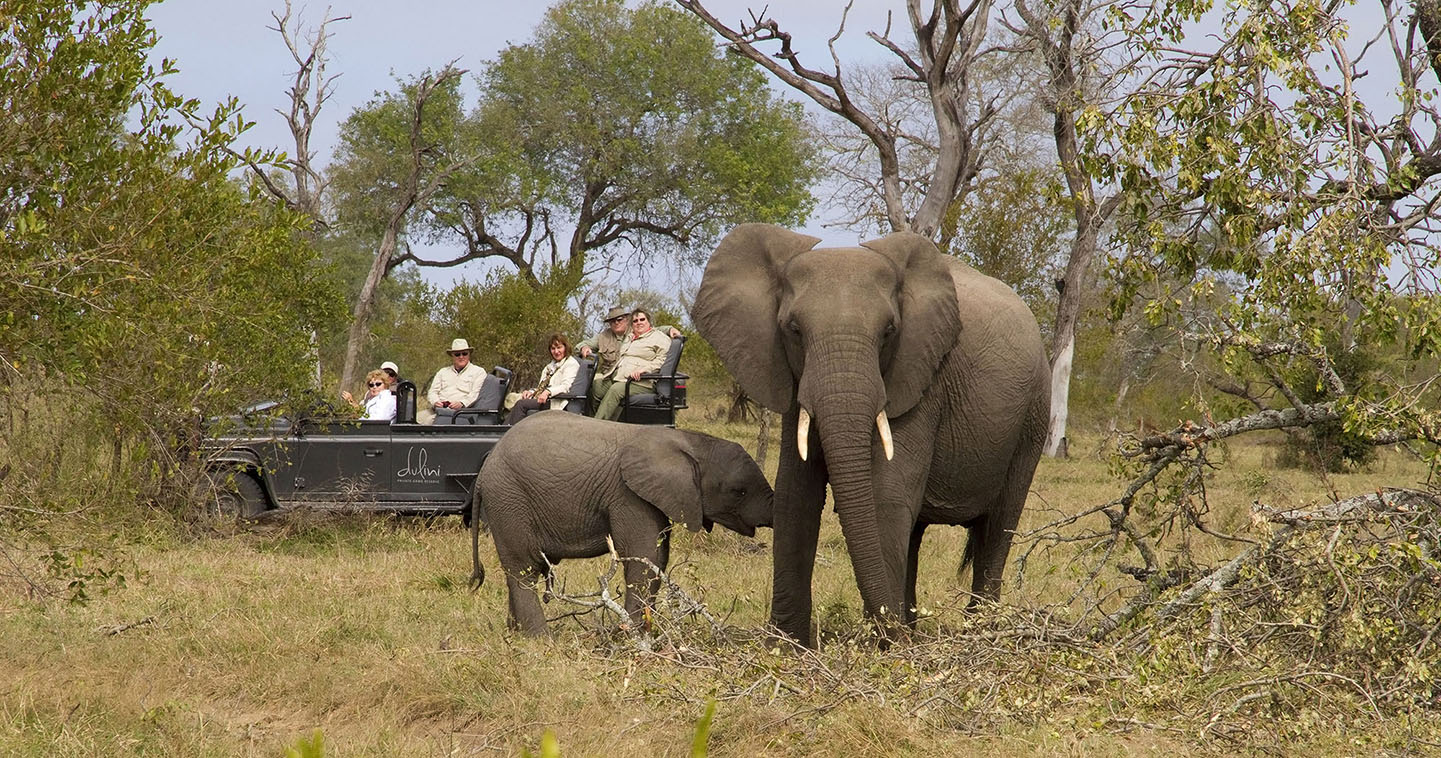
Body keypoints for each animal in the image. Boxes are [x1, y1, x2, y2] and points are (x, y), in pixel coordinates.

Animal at [472, 412, 772, 639]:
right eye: (739, 491)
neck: (690, 440)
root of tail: (484, 470)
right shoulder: (627, 495)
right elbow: (643, 558)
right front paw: (631, 636)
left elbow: (658, 559)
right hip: (509, 500)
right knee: (523, 570)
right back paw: (540, 639)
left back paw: (514, 633)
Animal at [691, 224, 1054, 648]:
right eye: (794, 330)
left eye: (889, 332)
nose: (891, 635)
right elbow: (796, 494)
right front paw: (786, 645)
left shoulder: (920, 378)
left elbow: (885, 496)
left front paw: (880, 647)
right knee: (917, 530)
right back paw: (913, 629)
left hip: (1034, 413)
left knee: (1000, 522)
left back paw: (975, 633)